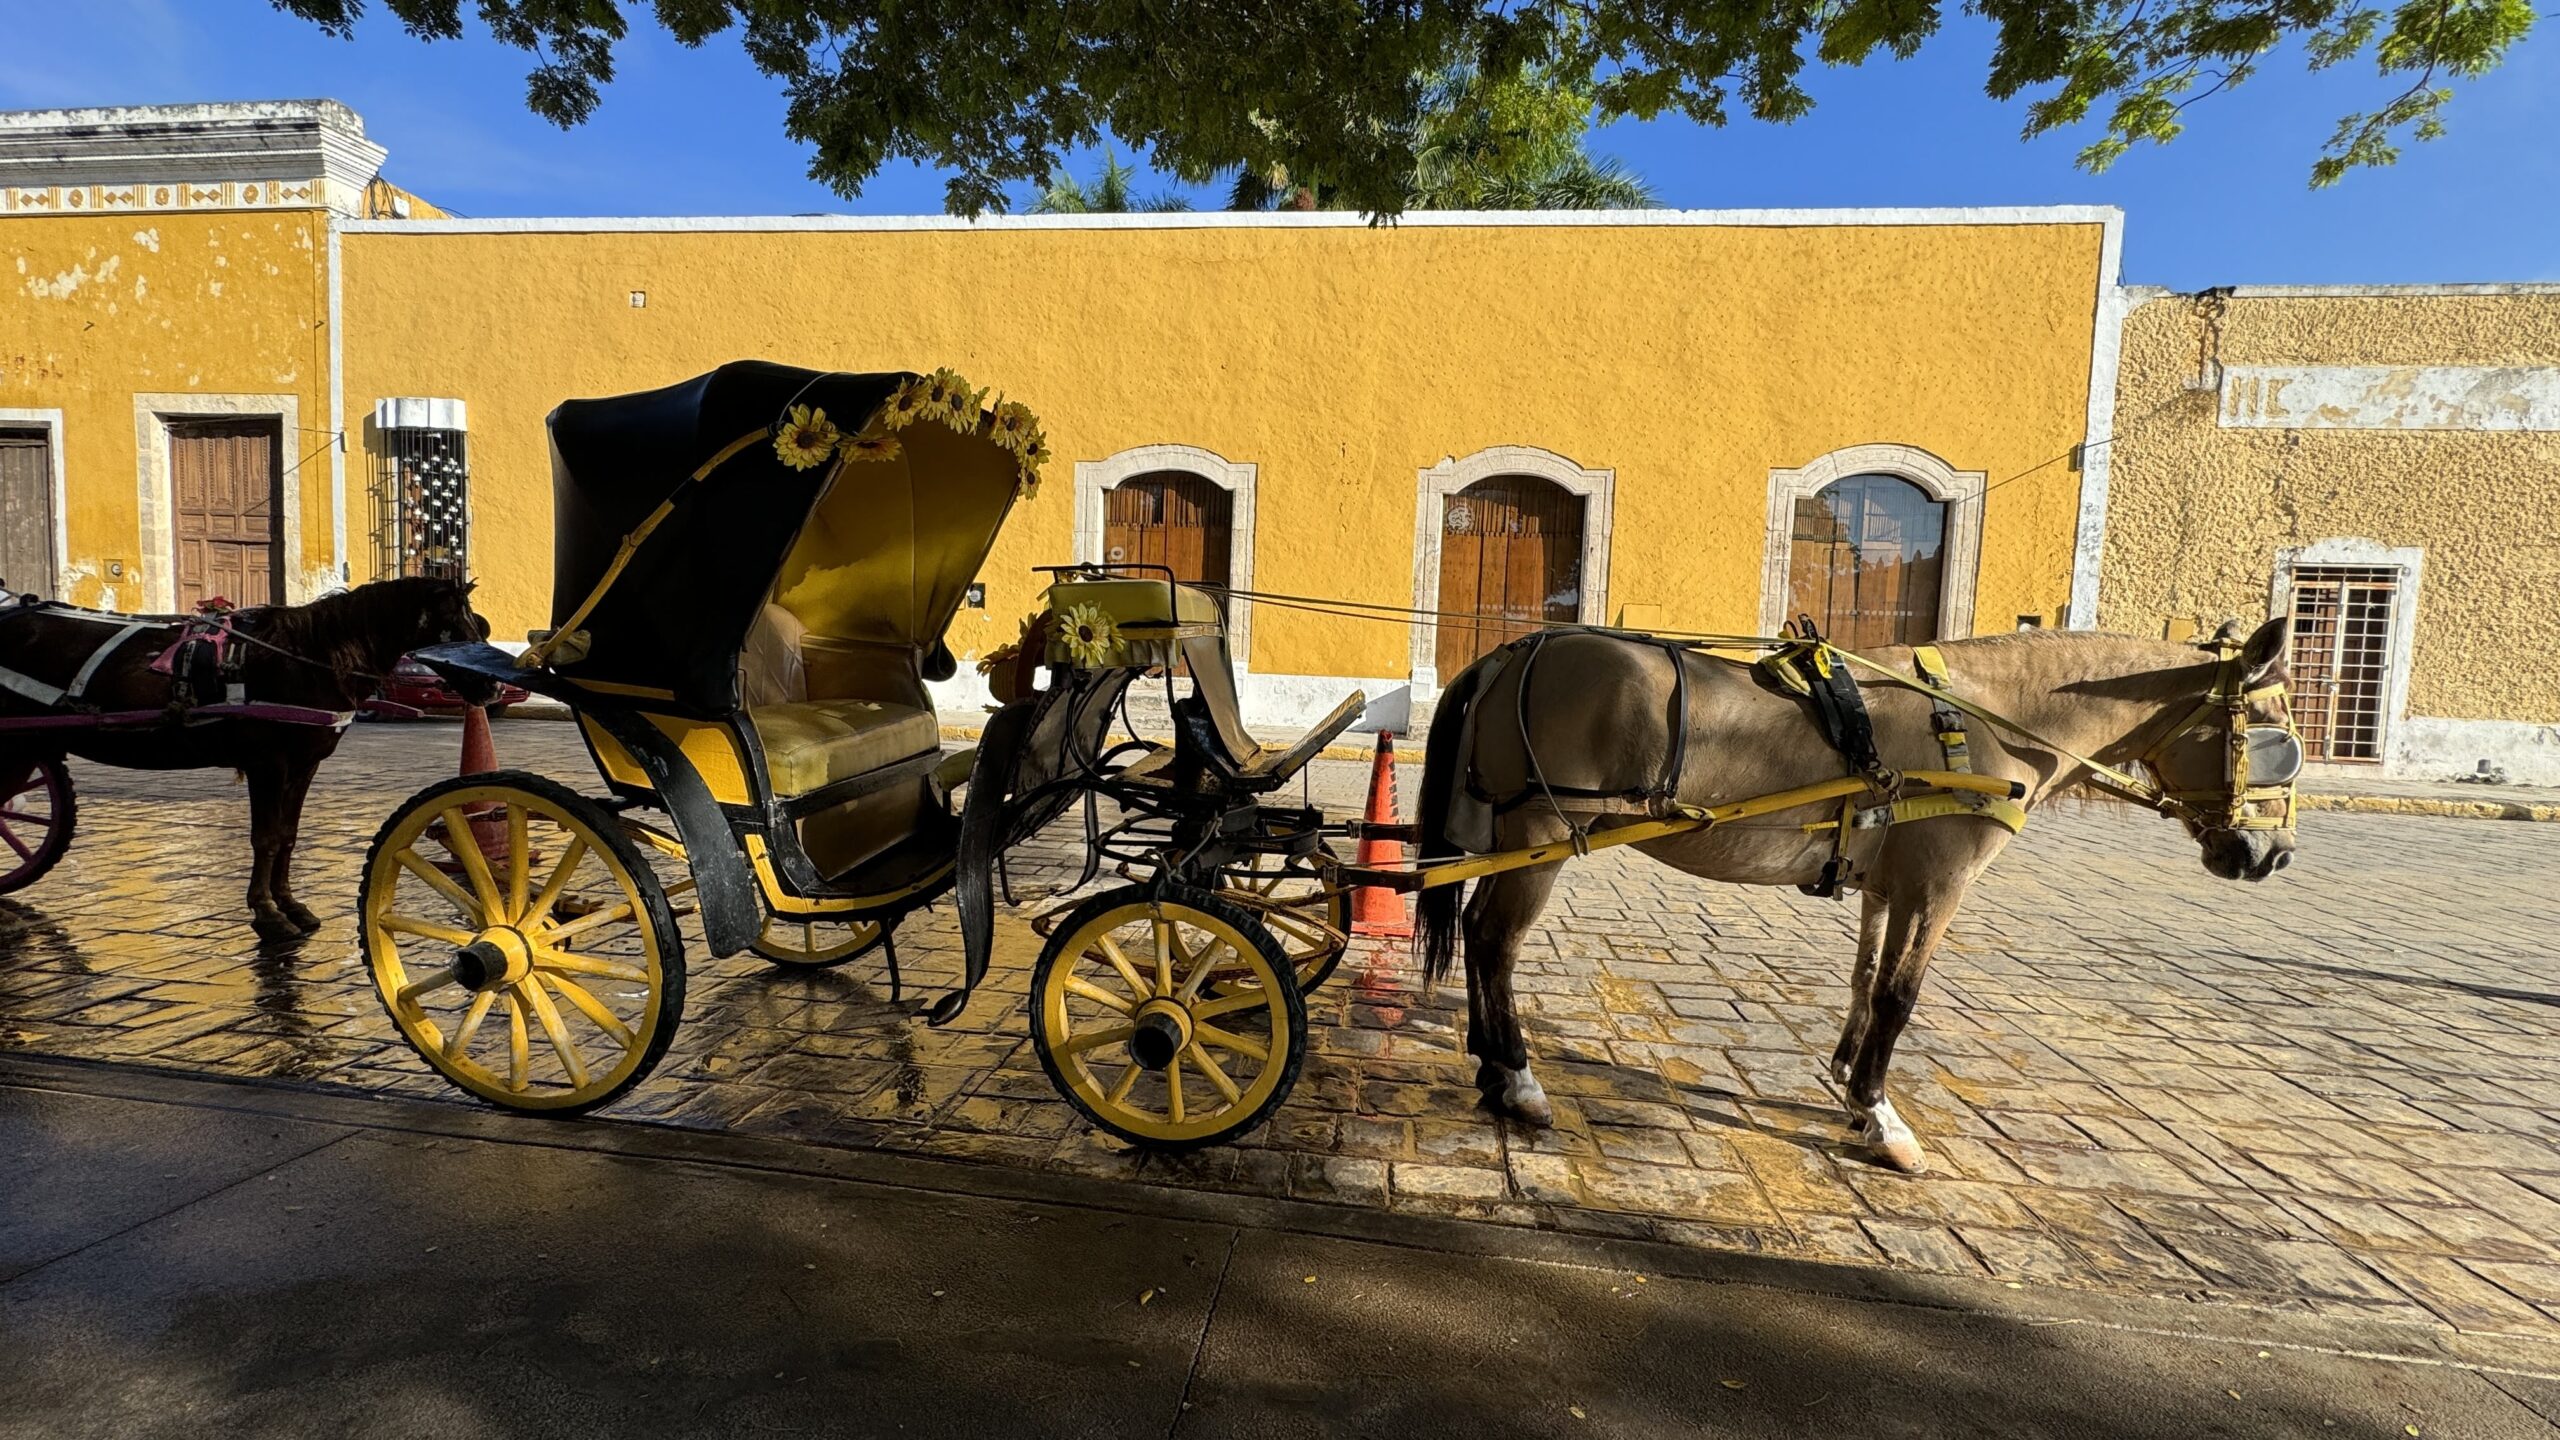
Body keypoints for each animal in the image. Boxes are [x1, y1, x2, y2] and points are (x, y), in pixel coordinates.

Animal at [0, 576, 486, 937]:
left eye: (476, 621)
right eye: (456, 622)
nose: (489, 686)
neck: (307, 655)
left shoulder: (304, 764)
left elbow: (288, 835)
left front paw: (290, 904)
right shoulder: (267, 762)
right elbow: (266, 837)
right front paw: (267, 911)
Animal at [1423, 617, 2304, 1168]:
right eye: (2274, 736)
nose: (2271, 854)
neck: (1982, 721)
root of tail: (1514, 652)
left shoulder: (1890, 882)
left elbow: (1866, 979)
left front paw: (1849, 1080)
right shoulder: (1938, 884)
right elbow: (1900, 997)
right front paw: (1880, 1116)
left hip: (1516, 838)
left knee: (1481, 931)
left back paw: (1491, 1065)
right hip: (1543, 833)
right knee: (1496, 940)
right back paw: (1517, 1079)